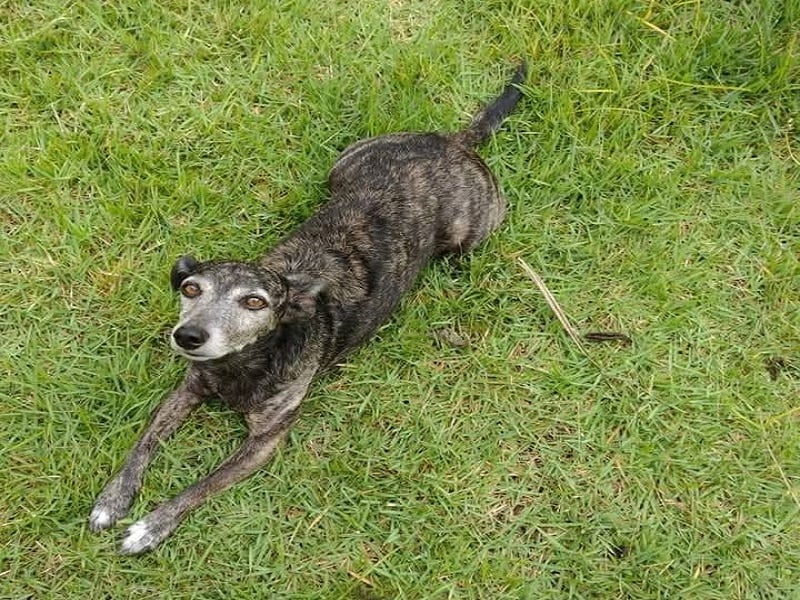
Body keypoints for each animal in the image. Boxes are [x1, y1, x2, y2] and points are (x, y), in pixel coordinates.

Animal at [90, 62, 528, 552]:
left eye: (255, 301)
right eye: (189, 289)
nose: (188, 336)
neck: (244, 363)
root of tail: (455, 141)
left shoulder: (265, 441)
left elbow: (201, 485)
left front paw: (151, 525)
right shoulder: (186, 391)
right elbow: (142, 443)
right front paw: (112, 499)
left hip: (470, 237)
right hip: (341, 165)